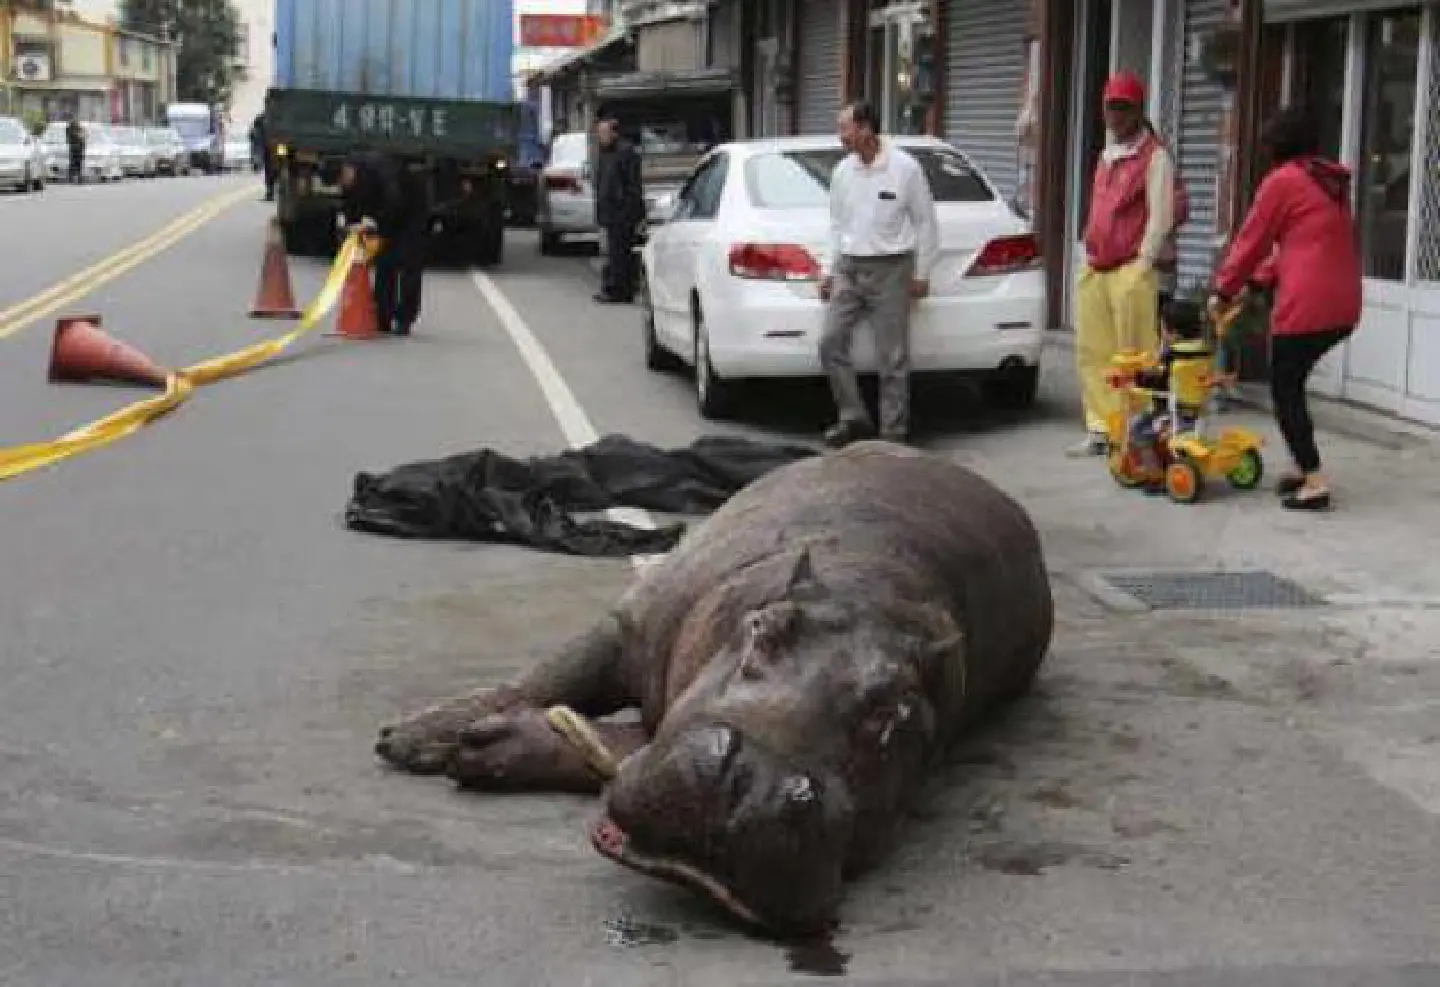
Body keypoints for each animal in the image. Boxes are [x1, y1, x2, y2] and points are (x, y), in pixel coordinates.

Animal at [375, 441, 1054, 936]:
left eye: (899, 715)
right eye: (766, 627)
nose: (751, 781)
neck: (875, 591)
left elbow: (616, 744)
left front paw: (482, 745)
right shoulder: (631, 626)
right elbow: (550, 675)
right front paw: (411, 740)